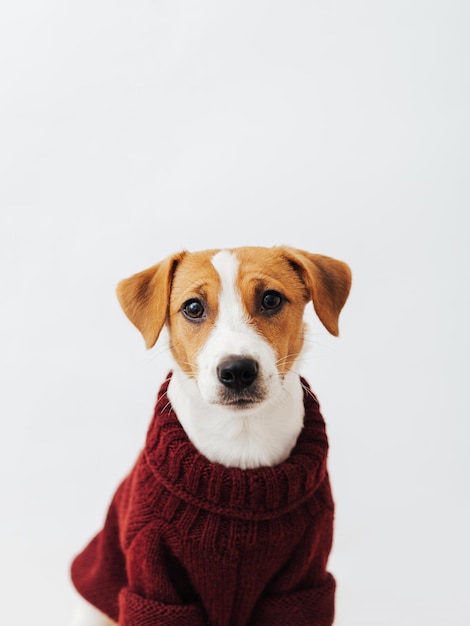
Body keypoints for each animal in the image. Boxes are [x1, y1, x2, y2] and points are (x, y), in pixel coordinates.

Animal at [69, 246, 348, 620]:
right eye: (193, 308)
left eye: (271, 299)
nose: (237, 370)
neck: (241, 443)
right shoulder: (154, 576)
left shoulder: (303, 580)